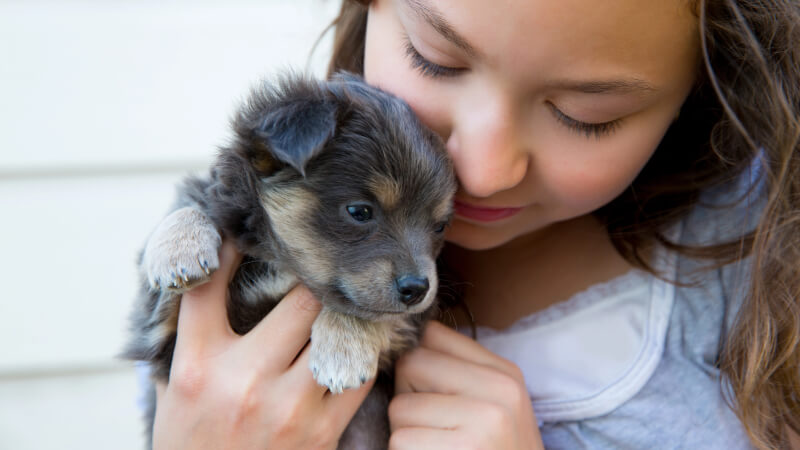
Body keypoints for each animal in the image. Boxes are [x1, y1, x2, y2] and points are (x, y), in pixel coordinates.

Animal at [121, 72, 454, 448]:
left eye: (440, 225)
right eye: (359, 211)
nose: (418, 288)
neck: (281, 263)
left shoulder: (414, 318)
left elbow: (362, 308)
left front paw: (343, 352)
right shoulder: (159, 334)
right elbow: (191, 202)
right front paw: (179, 250)